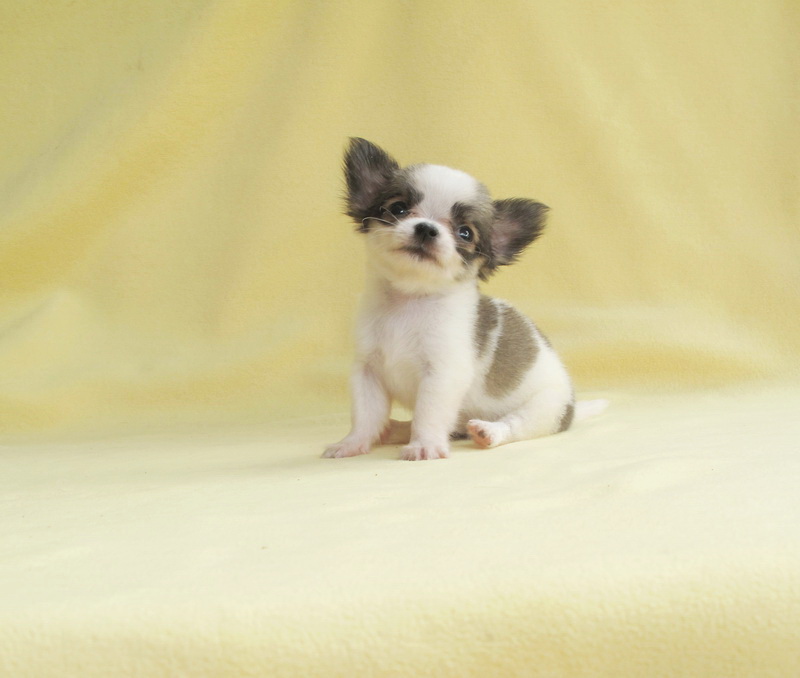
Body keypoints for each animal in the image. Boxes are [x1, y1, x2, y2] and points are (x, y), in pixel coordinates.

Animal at [323, 138, 606, 461]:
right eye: (398, 208)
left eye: (465, 233)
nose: (426, 228)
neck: (409, 300)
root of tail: (573, 407)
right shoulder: (368, 371)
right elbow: (365, 415)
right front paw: (352, 443)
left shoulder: (442, 375)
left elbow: (428, 414)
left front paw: (424, 445)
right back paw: (393, 429)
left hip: (546, 407)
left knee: (514, 425)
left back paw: (487, 432)